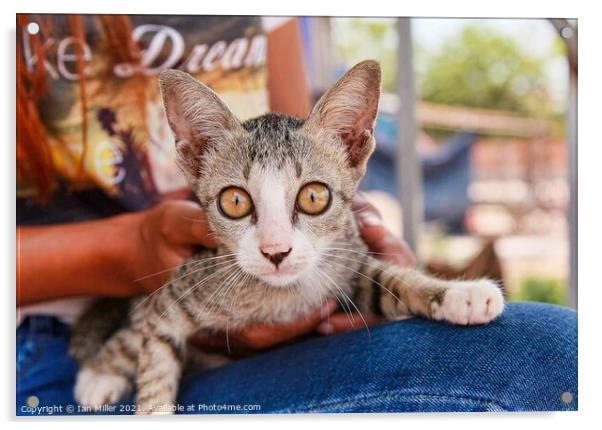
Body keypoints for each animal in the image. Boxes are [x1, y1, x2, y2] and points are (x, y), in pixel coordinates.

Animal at [69, 60, 502, 414]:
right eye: (235, 201)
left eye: (314, 197)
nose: (275, 251)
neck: (281, 297)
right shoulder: (177, 290)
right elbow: (154, 353)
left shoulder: (347, 261)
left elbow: (390, 282)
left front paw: (459, 294)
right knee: (131, 332)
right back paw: (97, 376)